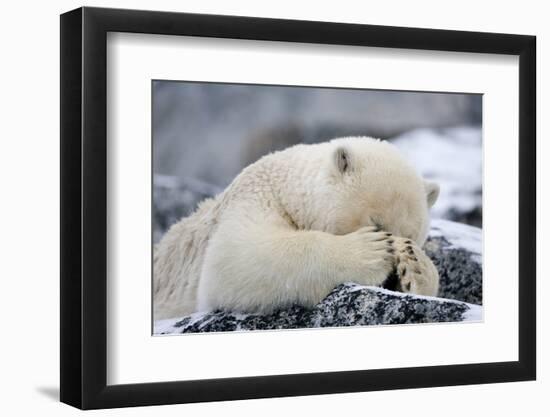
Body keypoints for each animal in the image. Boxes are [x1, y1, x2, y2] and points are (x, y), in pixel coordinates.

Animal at [153, 138, 442, 320]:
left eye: (411, 235)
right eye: (377, 224)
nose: (392, 278)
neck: (283, 184)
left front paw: (416, 267)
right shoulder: (254, 198)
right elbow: (234, 259)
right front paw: (370, 251)